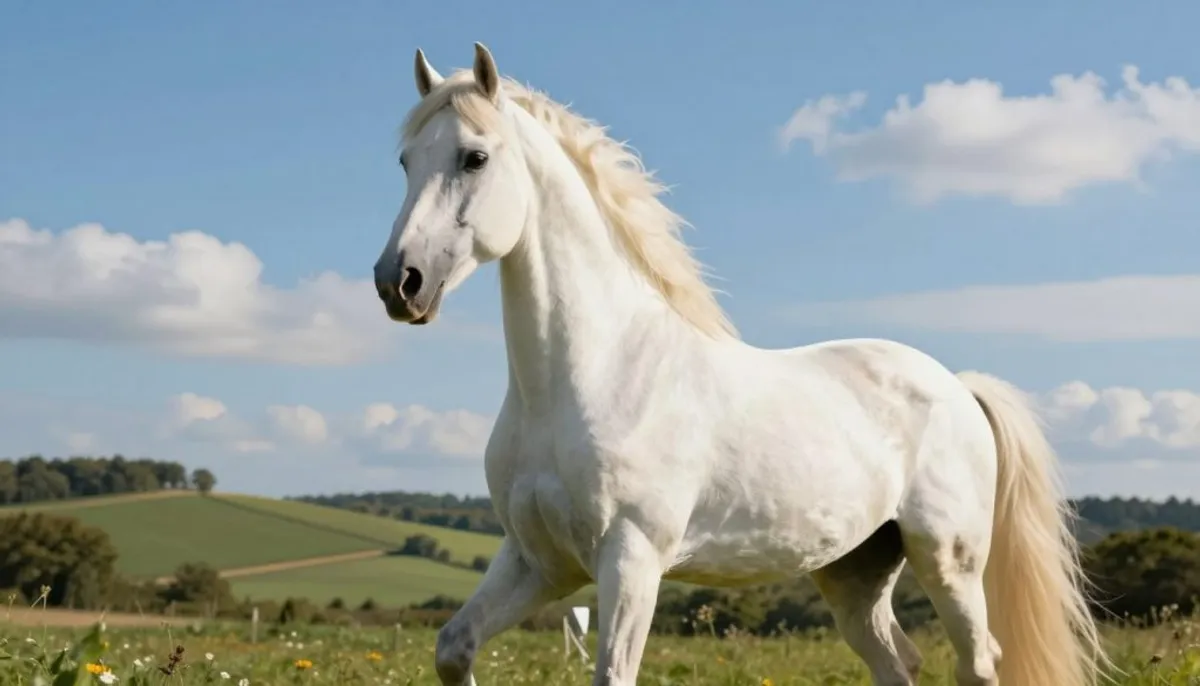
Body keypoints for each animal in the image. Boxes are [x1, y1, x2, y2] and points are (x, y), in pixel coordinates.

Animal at [371, 42, 1110, 686]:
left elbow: (613, 674)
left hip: (949, 561)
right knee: (898, 661)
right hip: (855, 572)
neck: (591, 375)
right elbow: (453, 648)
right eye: (405, 161)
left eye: (474, 157)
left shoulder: (631, 560)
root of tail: (957, 386)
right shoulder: (536, 562)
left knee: (979, 662)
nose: (398, 284)